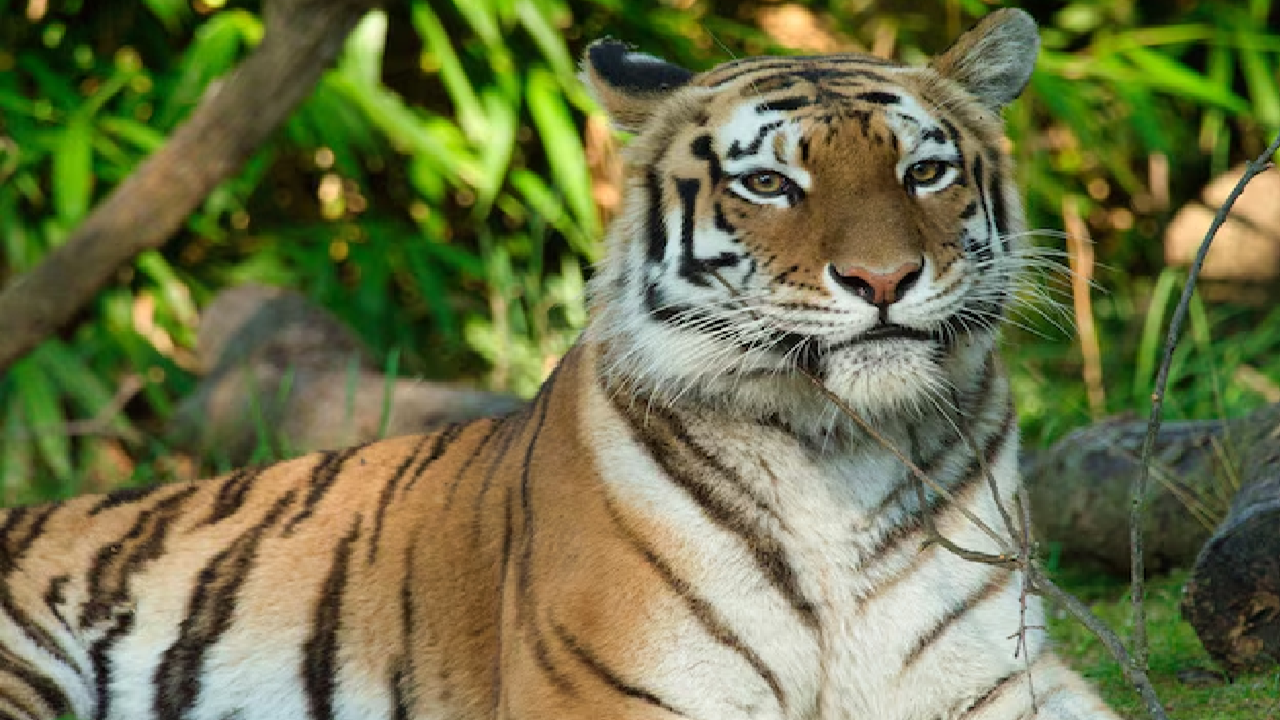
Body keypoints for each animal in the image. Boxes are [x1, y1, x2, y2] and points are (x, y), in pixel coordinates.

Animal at [0, 8, 1122, 720]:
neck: (841, 450)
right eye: (768, 184)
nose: (882, 278)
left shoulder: (999, 679)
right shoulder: (611, 693)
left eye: (923, 171)